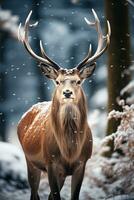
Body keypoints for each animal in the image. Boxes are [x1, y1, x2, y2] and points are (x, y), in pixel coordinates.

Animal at [17, 9, 110, 200]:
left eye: (78, 81)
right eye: (58, 81)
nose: (67, 92)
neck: (69, 151)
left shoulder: (82, 163)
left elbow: (71, 196)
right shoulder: (50, 162)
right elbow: (55, 195)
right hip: (30, 160)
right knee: (34, 194)